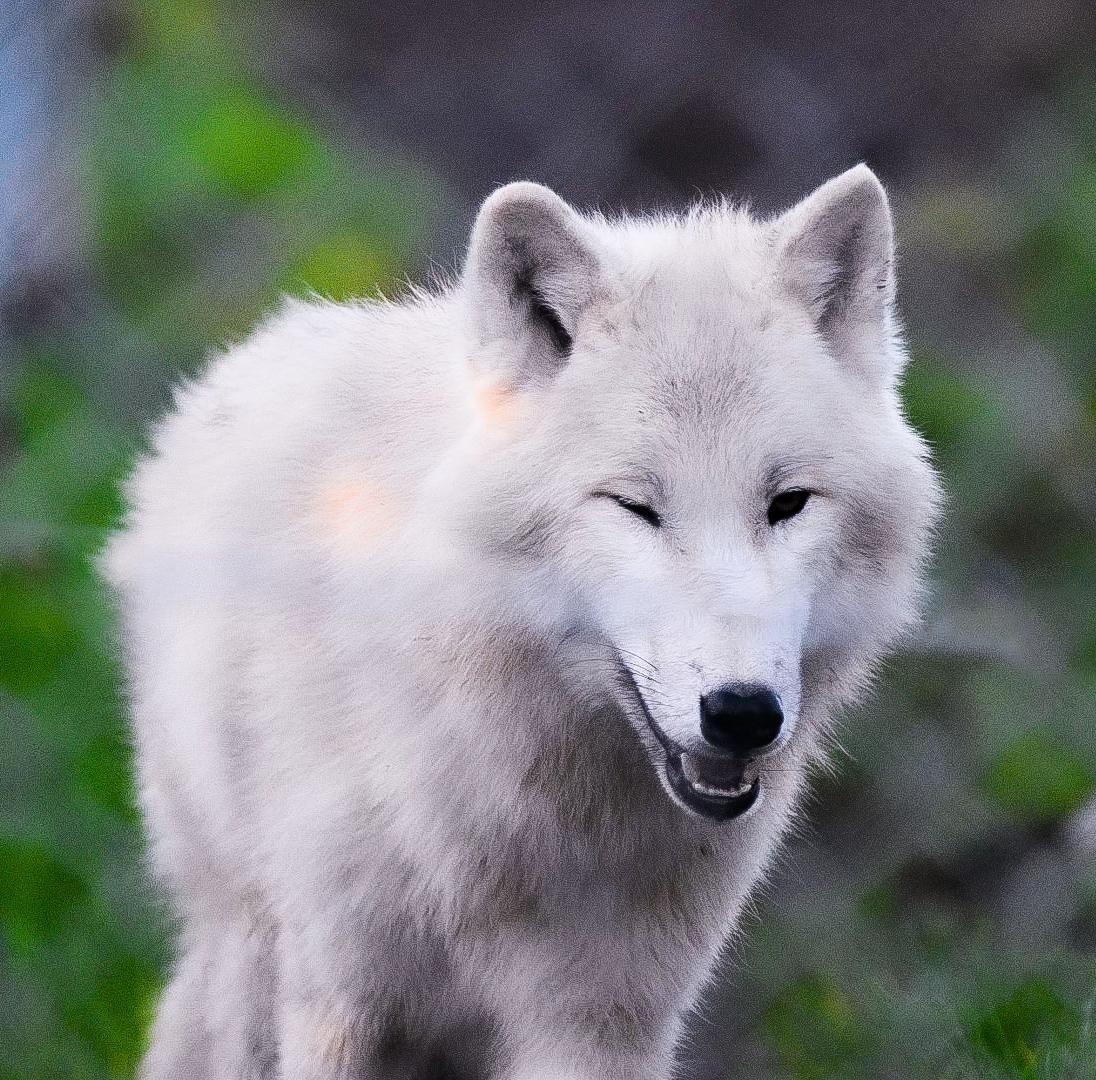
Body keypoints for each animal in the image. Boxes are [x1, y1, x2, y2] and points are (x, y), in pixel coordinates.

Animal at [102, 165, 941, 1079]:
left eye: (787, 504)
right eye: (635, 507)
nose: (743, 712)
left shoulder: (600, 1026)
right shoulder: (338, 1004)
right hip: (246, 954)